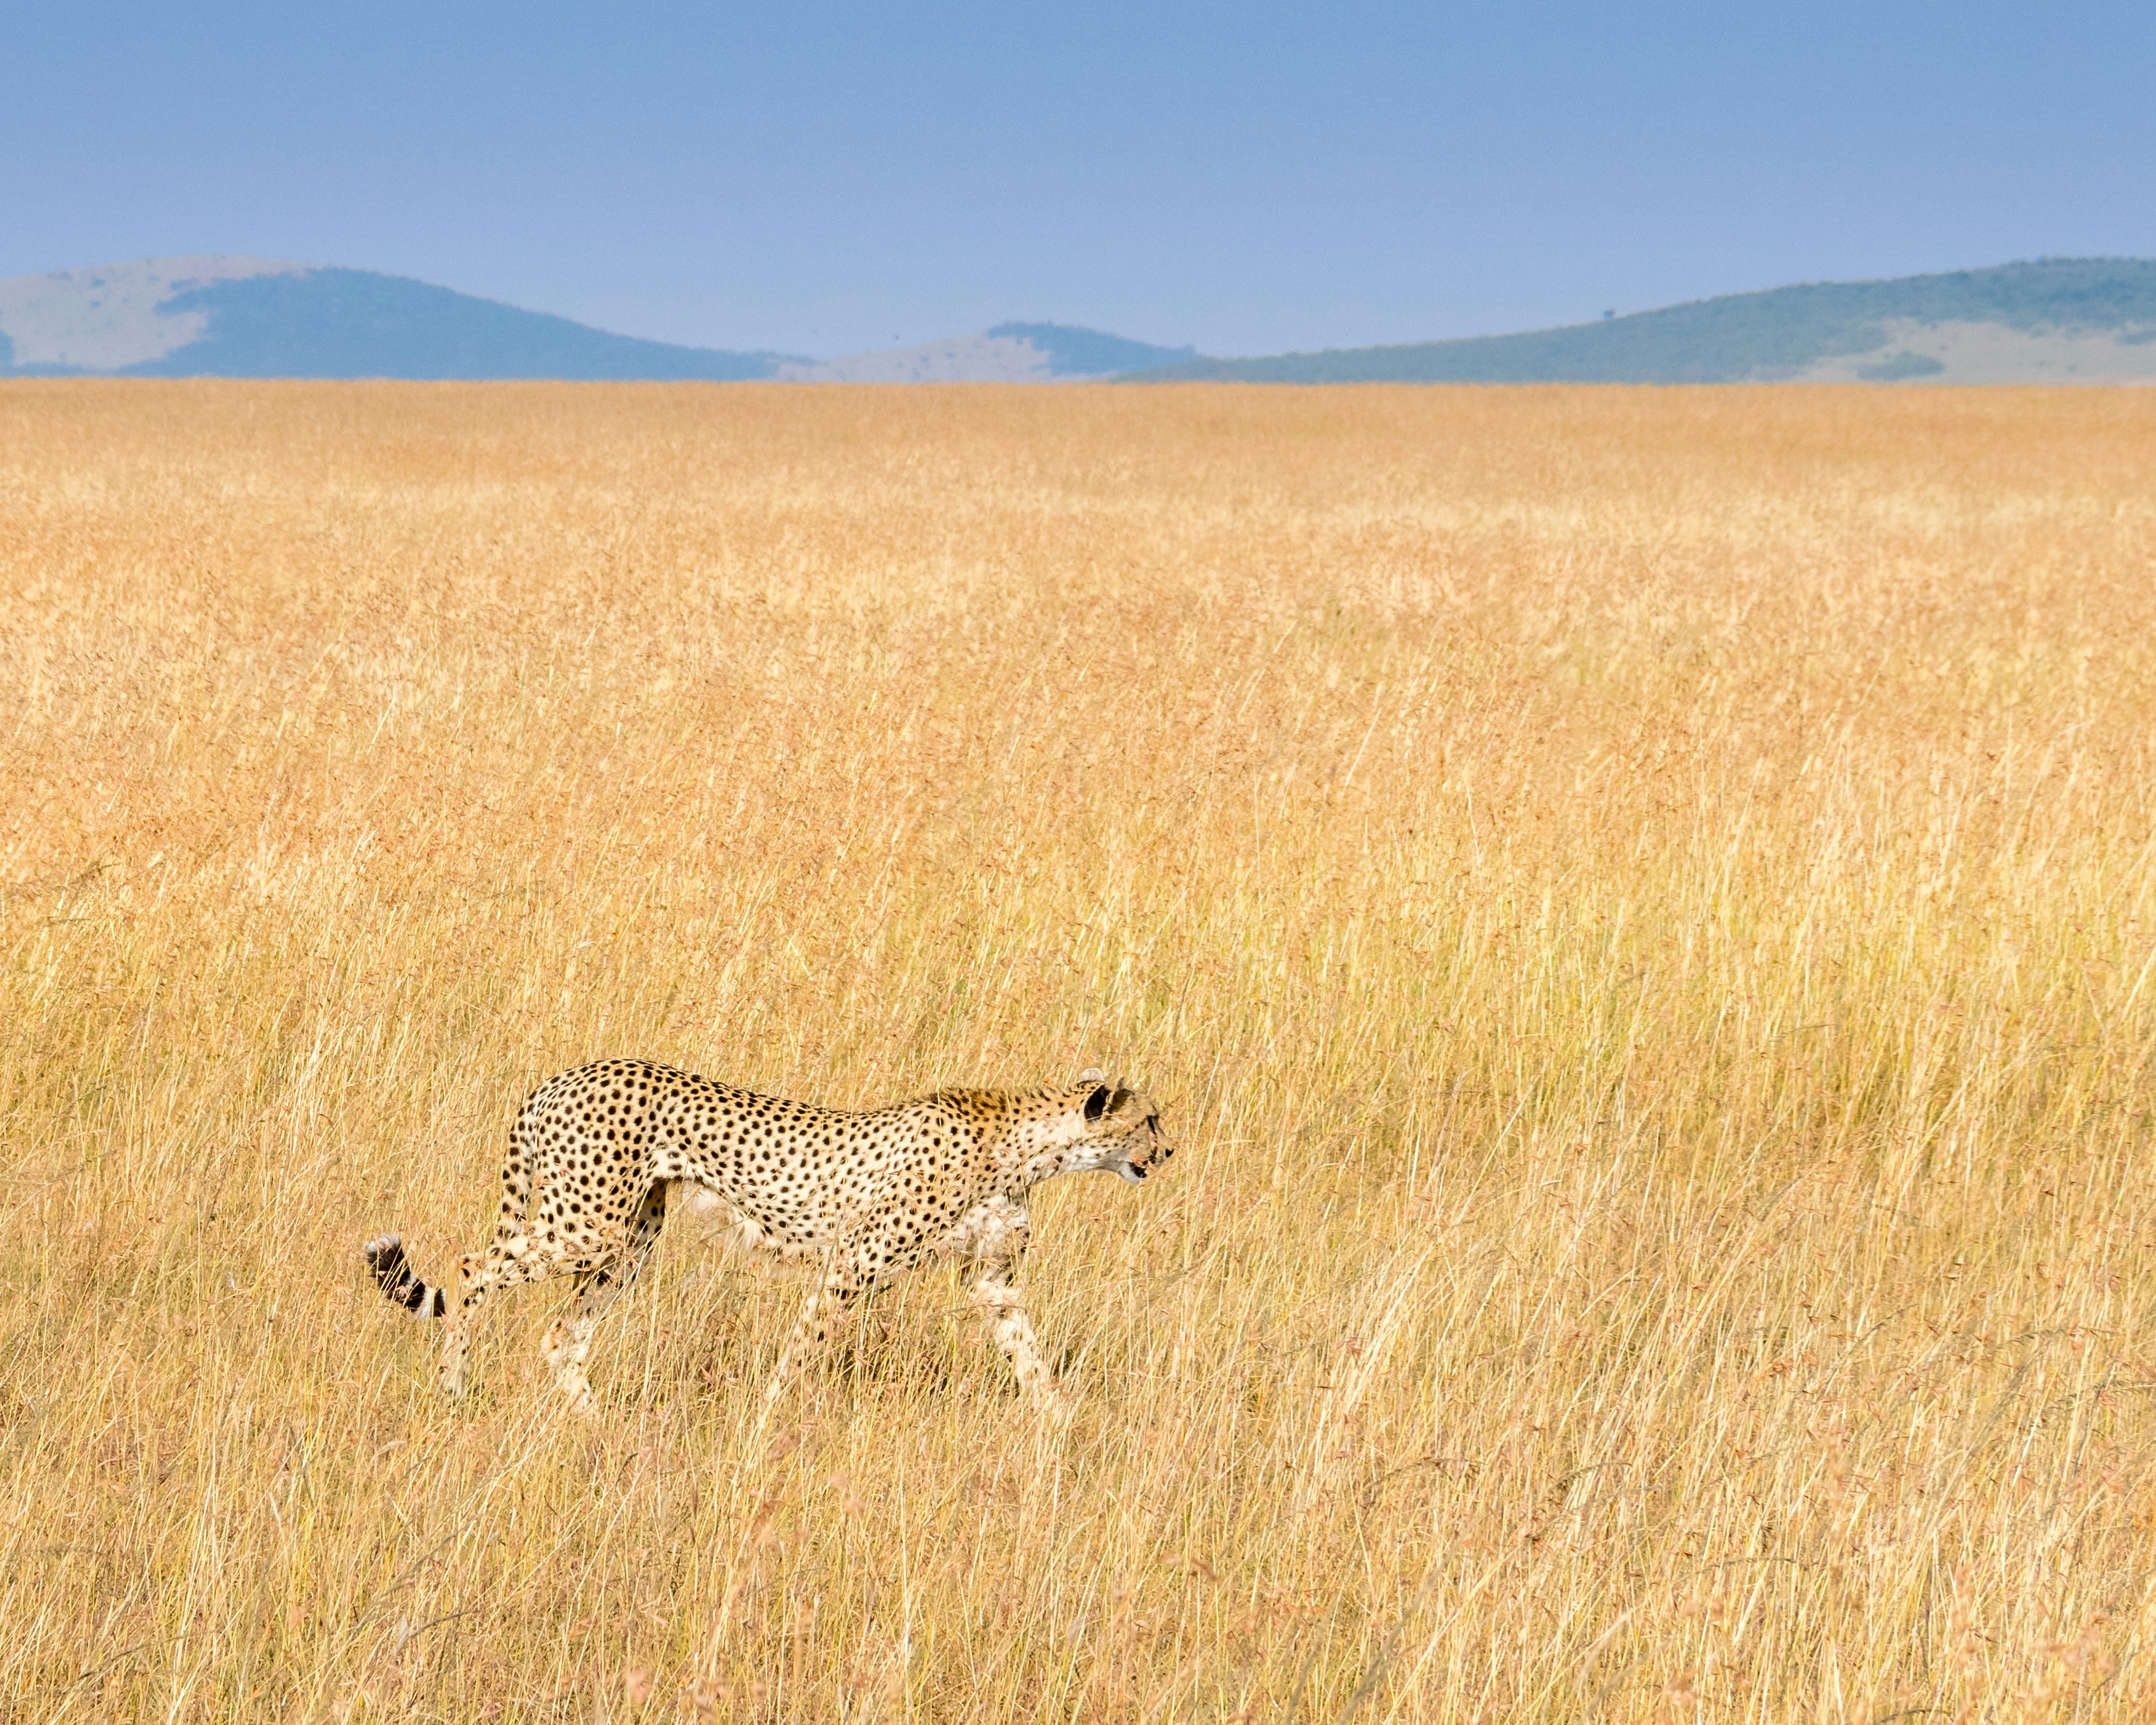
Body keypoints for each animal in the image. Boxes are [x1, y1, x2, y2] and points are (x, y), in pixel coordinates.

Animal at [361, 1060, 1169, 1419]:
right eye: (1150, 1120)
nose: (1168, 1152)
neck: (1026, 1144)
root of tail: (563, 1076)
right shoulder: (853, 1265)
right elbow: (803, 1353)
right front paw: (769, 1421)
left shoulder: (991, 1280)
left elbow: (1030, 1356)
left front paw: (1061, 1428)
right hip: (586, 1224)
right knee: (472, 1267)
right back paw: (454, 1388)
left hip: (629, 1239)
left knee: (562, 1333)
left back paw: (597, 1425)